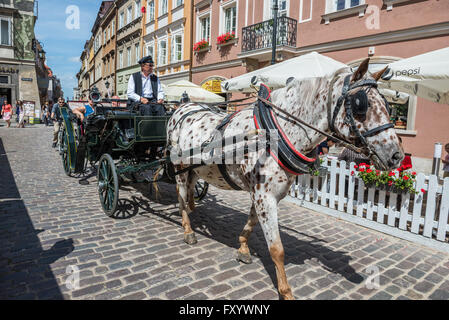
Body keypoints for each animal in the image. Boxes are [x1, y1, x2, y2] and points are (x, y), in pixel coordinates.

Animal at [166, 58, 404, 300]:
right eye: (360, 105)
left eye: (387, 104)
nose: (396, 155)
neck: (275, 133)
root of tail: (182, 107)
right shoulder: (264, 196)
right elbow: (277, 249)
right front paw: (285, 290)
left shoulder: (266, 195)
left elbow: (251, 222)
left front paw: (242, 247)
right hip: (179, 167)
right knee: (181, 196)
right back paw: (188, 230)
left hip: (195, 170)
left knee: (190, 191)